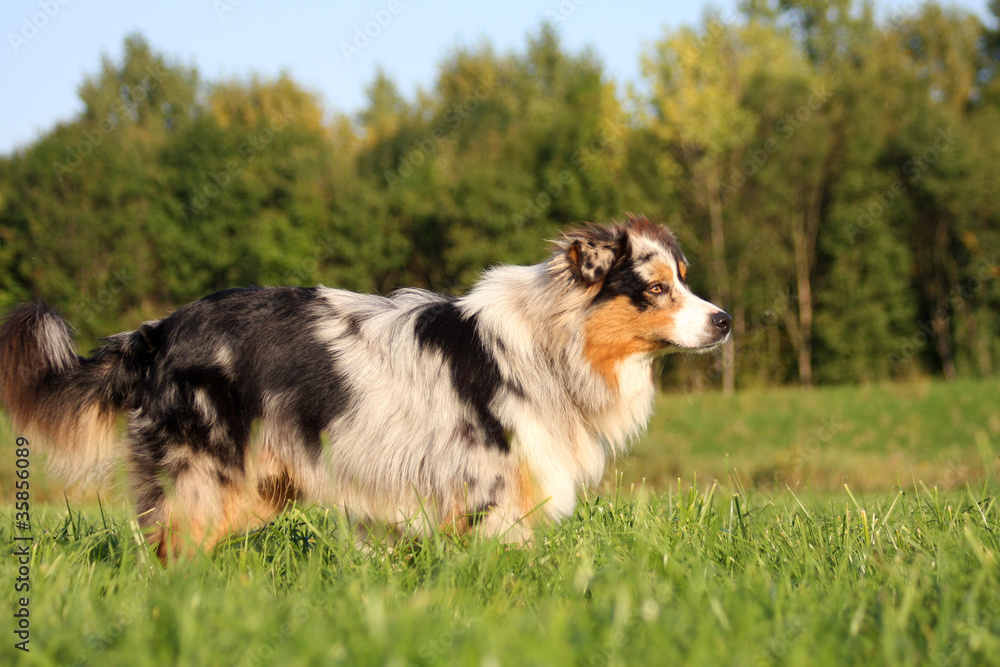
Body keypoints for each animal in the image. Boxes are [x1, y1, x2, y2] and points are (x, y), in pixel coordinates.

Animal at [0, 215, 728, 564]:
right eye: (656, 288)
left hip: (255, 486)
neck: (551, 343)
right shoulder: (490, 499)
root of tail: (156, 330)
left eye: (685, 280)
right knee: (168, 549)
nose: (724, 319)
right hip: (205, 472)